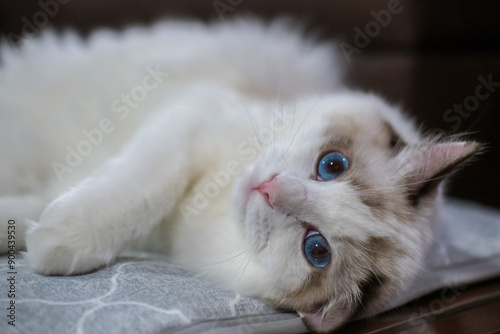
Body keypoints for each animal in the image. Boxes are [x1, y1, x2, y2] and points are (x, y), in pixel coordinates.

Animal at [0, 18, 480, 334]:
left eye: (317, 250)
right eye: (333, 165)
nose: (269, 189)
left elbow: (45, 213)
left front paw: (48, 244)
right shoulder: (191, 120)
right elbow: (139, 188)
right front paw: (54, 236)